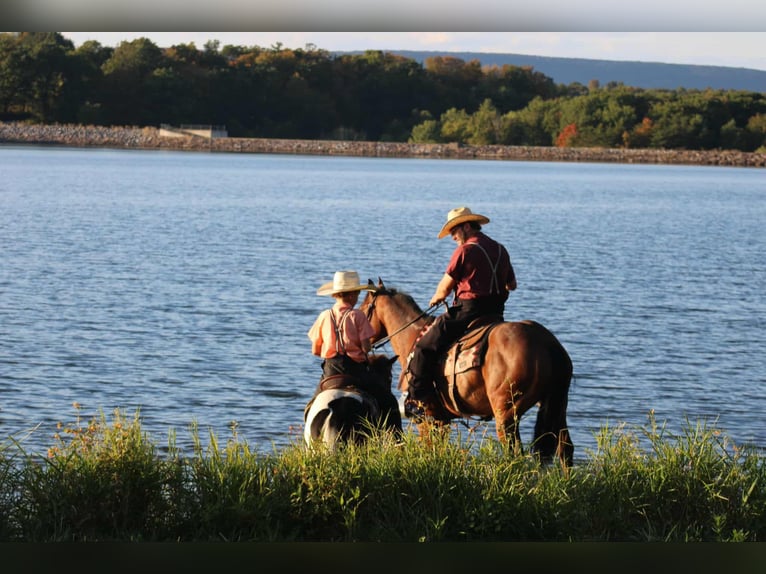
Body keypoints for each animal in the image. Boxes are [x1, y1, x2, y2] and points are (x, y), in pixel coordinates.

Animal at [360, 279, 574, 466]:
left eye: (363, 310)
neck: (412, 335)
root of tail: (547, 342)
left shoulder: (427, 416)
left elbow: (428, 448)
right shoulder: (441, 418)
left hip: (506, 413)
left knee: (514, 453)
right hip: (558, 407)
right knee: (565, 449)